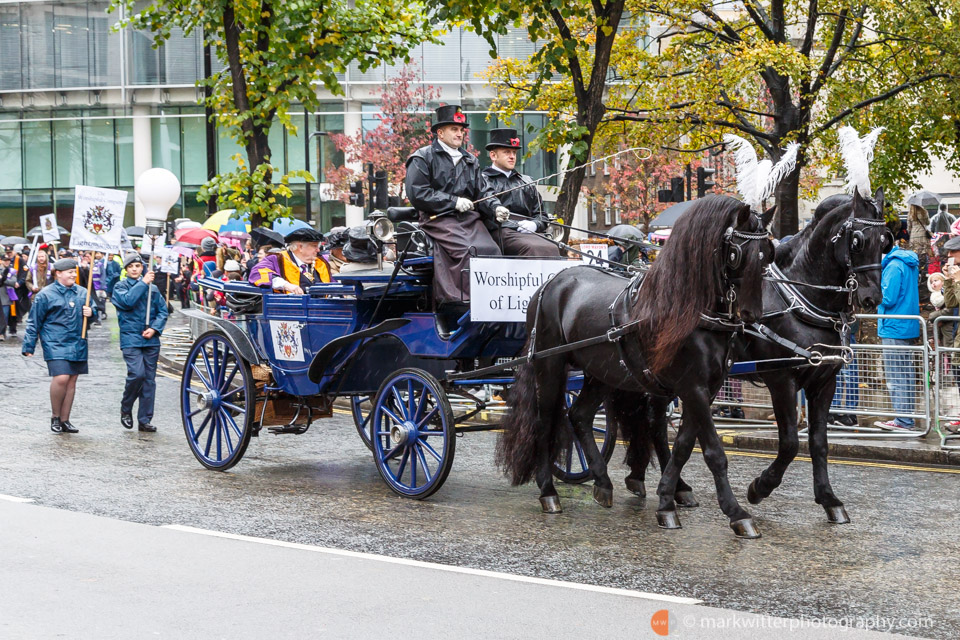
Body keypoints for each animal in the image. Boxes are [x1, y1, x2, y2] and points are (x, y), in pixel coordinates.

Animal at [496, 198, 772, 536]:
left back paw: (602, 482)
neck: (689, 310)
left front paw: (667, 500)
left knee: (579, 416)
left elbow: (682, 447)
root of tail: (550, 283)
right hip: (550, 366)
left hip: (601, 372)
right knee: (546, 422)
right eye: (735, 254)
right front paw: (736, 513)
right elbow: (713, 452)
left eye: (768, 253)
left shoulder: (705, 389)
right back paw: (548, 492)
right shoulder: (692, 387)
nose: (752, 315)